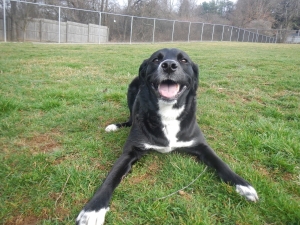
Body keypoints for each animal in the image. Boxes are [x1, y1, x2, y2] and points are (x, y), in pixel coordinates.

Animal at [75, 48, 258, 224]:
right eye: (156, 59)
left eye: (183, 60)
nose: (169, 65)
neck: (168, 112)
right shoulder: (130, 151)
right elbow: (111, 178)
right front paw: (93, 210)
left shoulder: (201, 145)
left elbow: (221, 163)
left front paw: (243, 185)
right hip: (132, 88)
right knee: (130, 118)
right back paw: (116, 126)